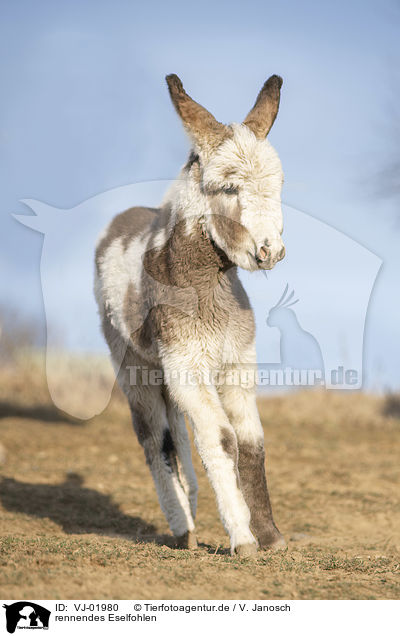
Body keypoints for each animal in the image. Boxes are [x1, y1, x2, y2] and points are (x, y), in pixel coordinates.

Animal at [95, 72, 286, 556]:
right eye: (229, 188)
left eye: (279, 186)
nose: (271, 252)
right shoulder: (188, 366)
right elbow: (221, 439)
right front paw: (243, 539)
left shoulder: (237, 364)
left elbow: (251, 445)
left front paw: (271, 536)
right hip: (134, 363)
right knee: (154, 437)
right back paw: (182, 526)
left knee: (176, 434)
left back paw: (193, 518)